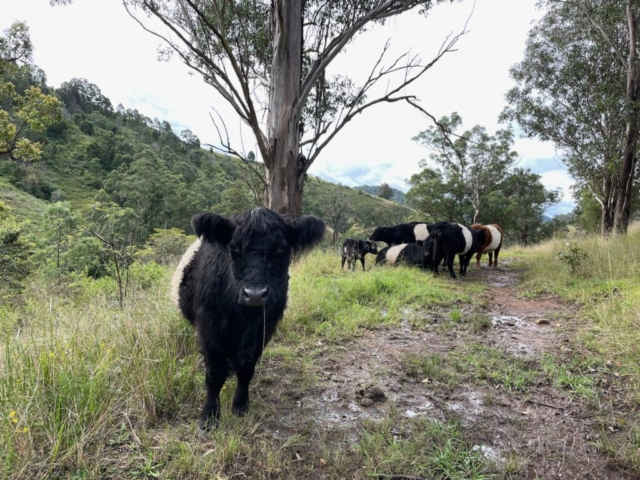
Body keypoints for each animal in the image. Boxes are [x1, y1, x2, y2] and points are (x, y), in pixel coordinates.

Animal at [170, 208, 324, 426]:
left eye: (282, 248)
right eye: (234, 247)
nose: (255, 294)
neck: (242, 316)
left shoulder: (263, 329)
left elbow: (246, 368)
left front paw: (240, 406)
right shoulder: (209, 328)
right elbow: (214, 374)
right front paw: (209, 415)